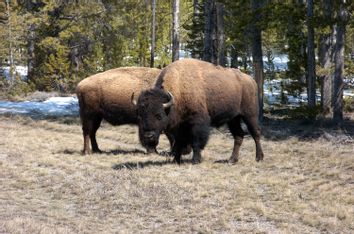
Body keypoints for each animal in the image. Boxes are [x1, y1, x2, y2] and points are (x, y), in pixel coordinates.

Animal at [134, 58, 264, 165]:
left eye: (159, 116)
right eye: (140, 116)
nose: (148, 135)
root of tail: (251, 80)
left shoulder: (198, 123)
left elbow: (196, 142)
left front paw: (195, 160)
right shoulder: (179, 127)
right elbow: (179, 142)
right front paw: (176, 160)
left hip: (250, 115)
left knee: (256, 133)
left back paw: (259, 158)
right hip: (233, 119)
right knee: (239, 136)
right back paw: (232, 160)